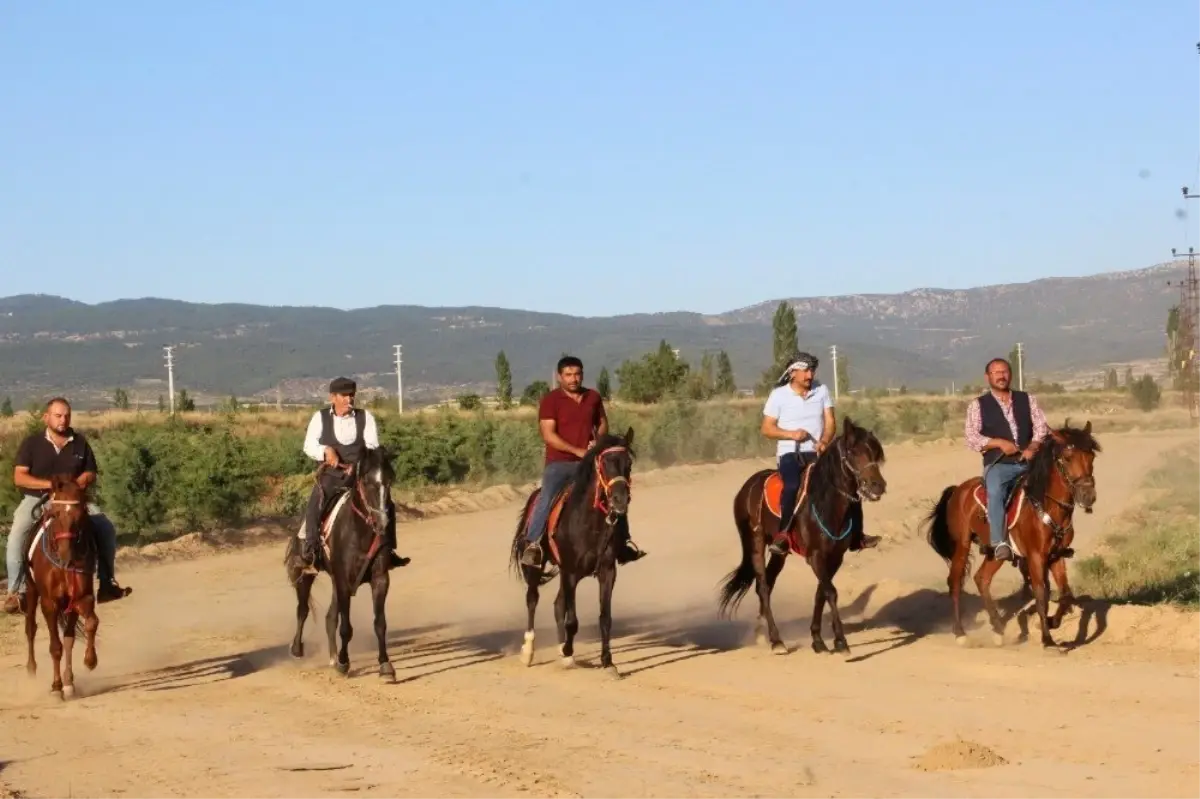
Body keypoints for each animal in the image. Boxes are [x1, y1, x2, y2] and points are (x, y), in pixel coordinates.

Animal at [22, 472, 99, 695]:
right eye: (55, 514)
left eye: (80, 514)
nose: (67, 557)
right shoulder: (50, 603)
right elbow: (55, 647)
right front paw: (56, 687)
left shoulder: (81, 598)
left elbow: (89, 624)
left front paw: (89, 662)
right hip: (31, 591)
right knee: (30, 628)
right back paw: (32, 669)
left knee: (69, 637)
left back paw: (69, 681)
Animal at [283, 443, 396, 676]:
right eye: (367, 482)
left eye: (390, 480)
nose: (382, 523)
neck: (359, 532)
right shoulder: (344, 581)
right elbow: (345, 627)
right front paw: (344, 662)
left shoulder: (380, 579)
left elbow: (379, 623)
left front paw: (385, 665)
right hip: (304, 574)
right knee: (303, 610)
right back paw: (298, 649)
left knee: (329, 617)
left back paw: (333, 657)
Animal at [506, 427, 638, 676]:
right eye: (604, 463)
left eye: (629, 463)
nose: (620, 500)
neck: (590, 523)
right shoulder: (570, 571)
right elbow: (572, 620)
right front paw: (568, 650)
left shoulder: (607, 571)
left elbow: (605, 617)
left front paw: (608, 662)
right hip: (536, 567)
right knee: (532, 599)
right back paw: (529, 651)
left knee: (558, 604)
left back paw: (563, 652)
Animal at [715, 417, 888, 652]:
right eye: (853, 452)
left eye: (875, 453)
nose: (878, 486)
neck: (826, 503)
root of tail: (748, 486)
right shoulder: (815, 556)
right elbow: (831, 592)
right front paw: (840, 641)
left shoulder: (835, 557)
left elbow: (821, 593)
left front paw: (818, 639)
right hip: (756, 543)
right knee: (763, 587)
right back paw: (776, 640)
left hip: (779, 552)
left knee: (768, 584)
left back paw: (761, 634)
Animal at [921, 417, 1099, 647]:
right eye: (1067, 458)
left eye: (1091, 456)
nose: (1088, 496)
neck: (1045, 505)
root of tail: (958, 490)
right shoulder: (1035, 557)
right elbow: (1041, 593)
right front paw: (1047, 639)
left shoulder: (1056, 555)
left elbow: (1066, 594)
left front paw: (1052, 622)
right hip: (962, 545)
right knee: (955, 582)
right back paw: (960, 633)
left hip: (996, 553)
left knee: (982, 579)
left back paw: (998, 629)